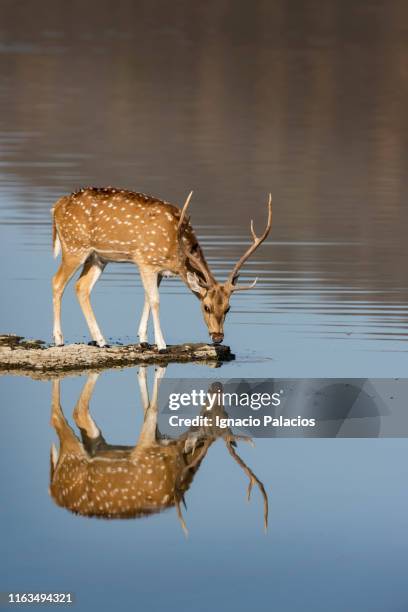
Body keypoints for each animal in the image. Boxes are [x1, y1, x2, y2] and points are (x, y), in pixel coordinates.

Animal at [49, 366, 268, 532]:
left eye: (227, 414)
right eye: (206, 417)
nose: (217, 385)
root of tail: (53, 488)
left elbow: (148, 407)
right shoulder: (147, 450)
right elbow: (151, 409)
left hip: (93, 442)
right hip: (71, 453)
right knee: (59, 416)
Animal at [52, 186, 272, 350]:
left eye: (228, 307)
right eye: (206, 306)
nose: (218, 337)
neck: (176, 253)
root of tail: (56, 206)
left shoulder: (159, 270)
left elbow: (148, 299)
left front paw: (143, 339)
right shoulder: (145, 261)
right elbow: (155, 301)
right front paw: (161, 344)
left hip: (98, 257)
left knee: (81, 287)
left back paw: (101, 340)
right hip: (74, 247)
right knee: (57, 282)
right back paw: (59, 339)